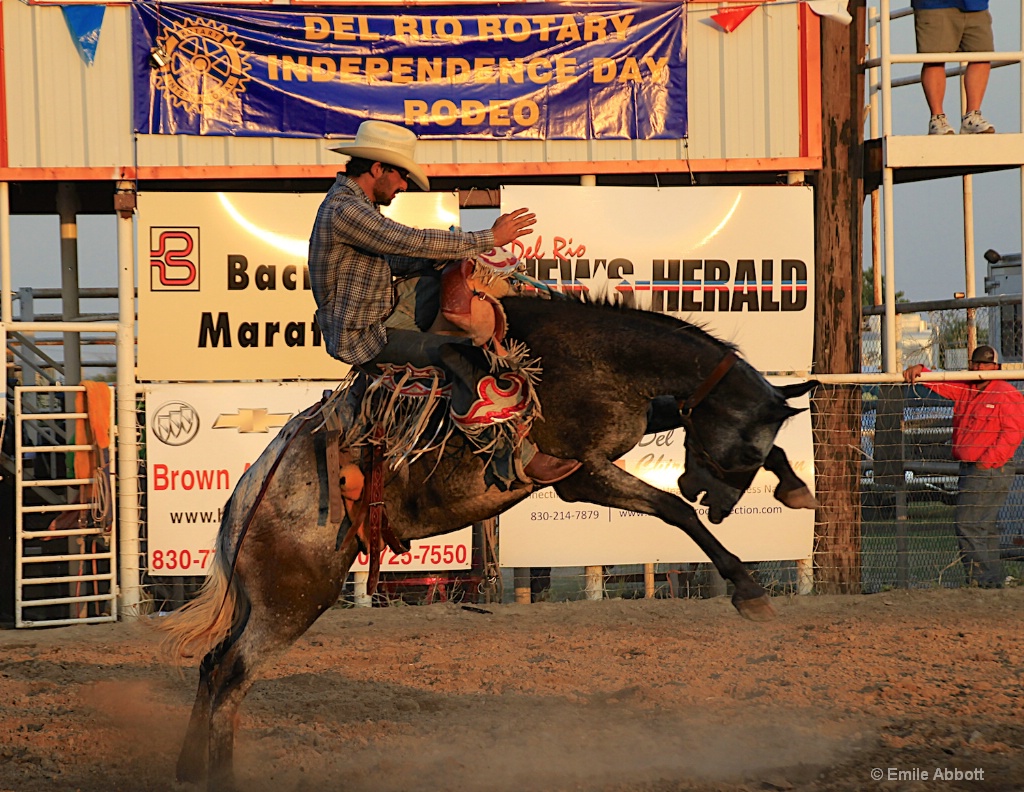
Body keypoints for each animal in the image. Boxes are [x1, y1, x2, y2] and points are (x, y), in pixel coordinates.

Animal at [157, 290, 815, 790]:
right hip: (294, 600)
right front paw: (748, 588)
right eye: (741, 451)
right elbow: (674, 511)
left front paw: (795, 487)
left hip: (266, 602)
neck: (599, 358)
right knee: (233, 674)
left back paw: (187, 769)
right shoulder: (579, 474)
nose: (716, 501)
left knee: (213, 666)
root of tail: (244, 504)